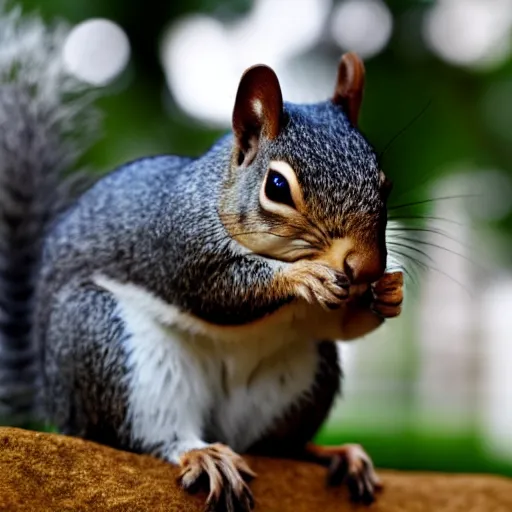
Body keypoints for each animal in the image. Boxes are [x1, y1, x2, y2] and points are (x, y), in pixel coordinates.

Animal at [0, 5, 404, 512]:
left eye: (385, 183)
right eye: (277, 187)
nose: (365, 267)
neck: (218, 191)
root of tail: (56, 402)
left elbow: (340, 325)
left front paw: (389, 292)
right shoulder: (178, 243)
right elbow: (218, 293)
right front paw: (301, 276)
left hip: (305, 376)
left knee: (274, 446)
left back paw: (330, 453)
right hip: (110, 345)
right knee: (147, 436)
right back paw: (202, 453)